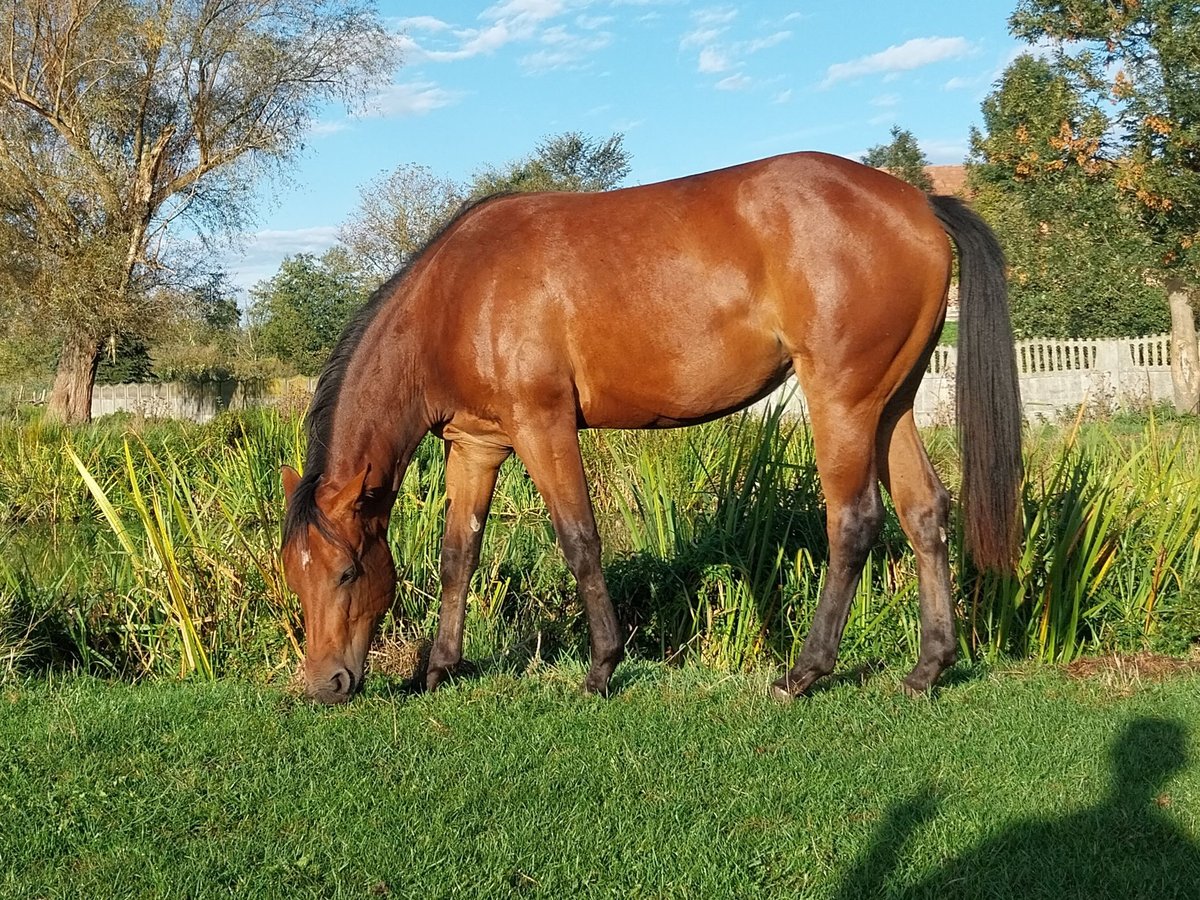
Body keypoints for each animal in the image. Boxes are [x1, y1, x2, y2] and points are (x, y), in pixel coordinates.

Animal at [280, 153, 1022, 705]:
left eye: (347, 573)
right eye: (295, 575)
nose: (324, 685)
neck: (459, 293)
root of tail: (916, 202)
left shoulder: (542, 426)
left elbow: (580, 541)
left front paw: (601, 667)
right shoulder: (477, 445)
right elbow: (458, 554)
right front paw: (438, 667)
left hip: (840, 401)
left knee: (854, 521)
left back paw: (804, 673)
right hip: (890, 403)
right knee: (924, 511)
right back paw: (928, 668)